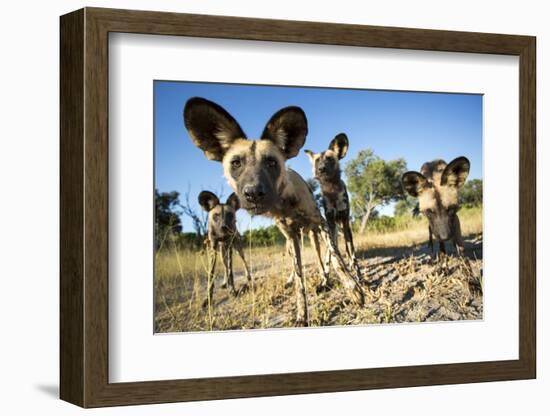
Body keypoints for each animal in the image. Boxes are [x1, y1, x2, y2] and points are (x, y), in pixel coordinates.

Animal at [306, 135, 362, 280]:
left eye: (329, 159)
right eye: (317, 161)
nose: (321, 169)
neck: (332, 190)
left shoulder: (345, 221)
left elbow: (352, 253)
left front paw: (358, 275)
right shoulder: (330, 224)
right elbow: (330, 255)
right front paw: (325, 278)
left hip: (344, 227)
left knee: (348, 250)